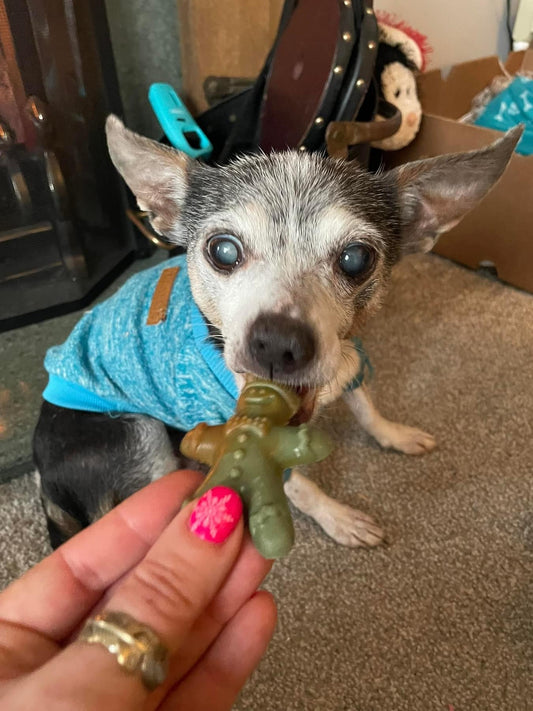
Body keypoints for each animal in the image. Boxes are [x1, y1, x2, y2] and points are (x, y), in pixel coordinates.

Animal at [33, 117, 520, 552]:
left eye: (356, 258)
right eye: (223, 250)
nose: (277, 343)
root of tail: (43, 479)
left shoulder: (352, 358)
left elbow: (366, 406)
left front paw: (394, 434)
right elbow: (299, 484)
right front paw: (339, 519)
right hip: (140, 432)